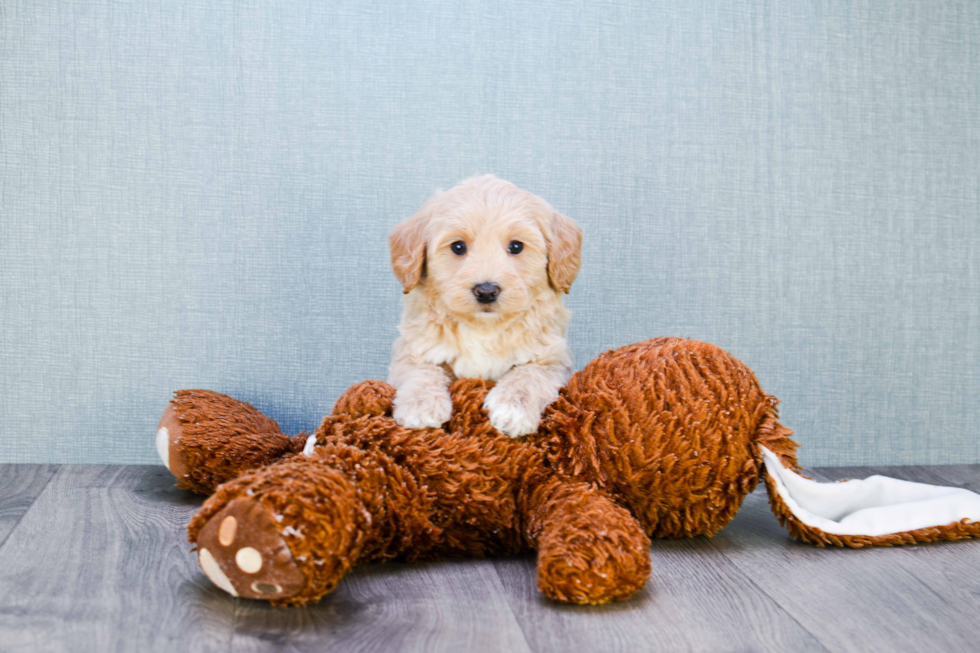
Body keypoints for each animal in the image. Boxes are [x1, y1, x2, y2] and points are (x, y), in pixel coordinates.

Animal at [384, 176, 580, 436]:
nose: (486, 291)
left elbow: (529, 374)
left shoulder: (554, 358)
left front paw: (512, 409)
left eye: (516, 246)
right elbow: (421, 371)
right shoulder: (413, 349)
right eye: (458, 247)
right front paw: (420, 405)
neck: (484, 328)